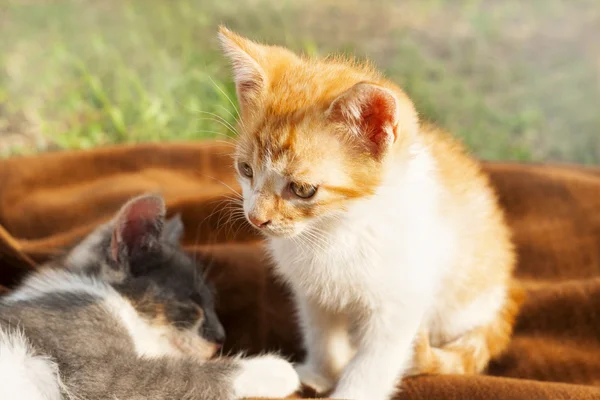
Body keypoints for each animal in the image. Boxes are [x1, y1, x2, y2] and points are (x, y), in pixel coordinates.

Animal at [0, 195, 300, 400]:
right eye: (192, 303)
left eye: (212, 302)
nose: (220, 337)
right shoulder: (92, 367)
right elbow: (181, 374)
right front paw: (276, 370)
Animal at [219, 28, 520, 400]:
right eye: (245, 169)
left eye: (302, 189)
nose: (255, 217)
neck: (335, 229)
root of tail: (506, 289)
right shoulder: (312, 293)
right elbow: (321, 333)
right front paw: (320, 374)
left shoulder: (400, 302)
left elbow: (375, 361)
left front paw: (352, 390)